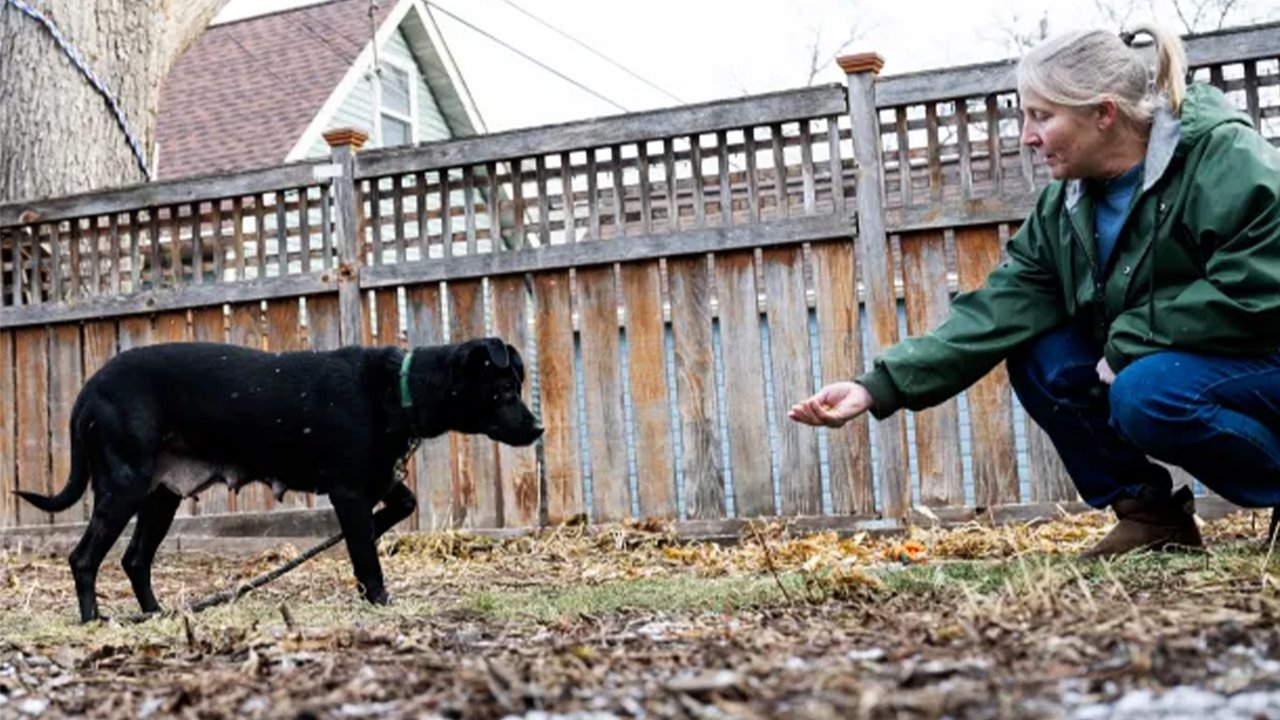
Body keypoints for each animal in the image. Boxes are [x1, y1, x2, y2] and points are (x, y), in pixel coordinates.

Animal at [17, 333, 542, 620]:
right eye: (504, 389)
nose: (537, 427)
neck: (401, 388)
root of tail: (89, 389)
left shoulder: (376, 481)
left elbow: (399, 508)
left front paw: (370, 537)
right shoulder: (349, 491)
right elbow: (367, 558)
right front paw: (377, 597)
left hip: (159, 496)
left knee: (134, 560)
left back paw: (156, 615)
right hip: (122, 487)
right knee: (83, 558)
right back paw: (94, 620)